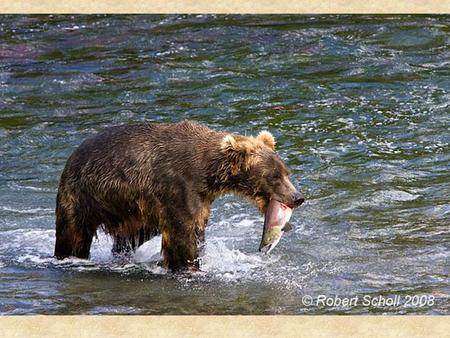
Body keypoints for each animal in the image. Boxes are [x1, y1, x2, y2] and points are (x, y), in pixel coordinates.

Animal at [54, 121, 304, 272]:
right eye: (273, 176)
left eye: (286, 172)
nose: (298, 197)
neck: (207, 175)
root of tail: (71, 156)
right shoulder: (177, 190)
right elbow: (182, 236)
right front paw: (190, 267)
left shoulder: (201, 201)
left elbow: (197, 231)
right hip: (82, 197)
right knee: (73, 234)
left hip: (130, 213)